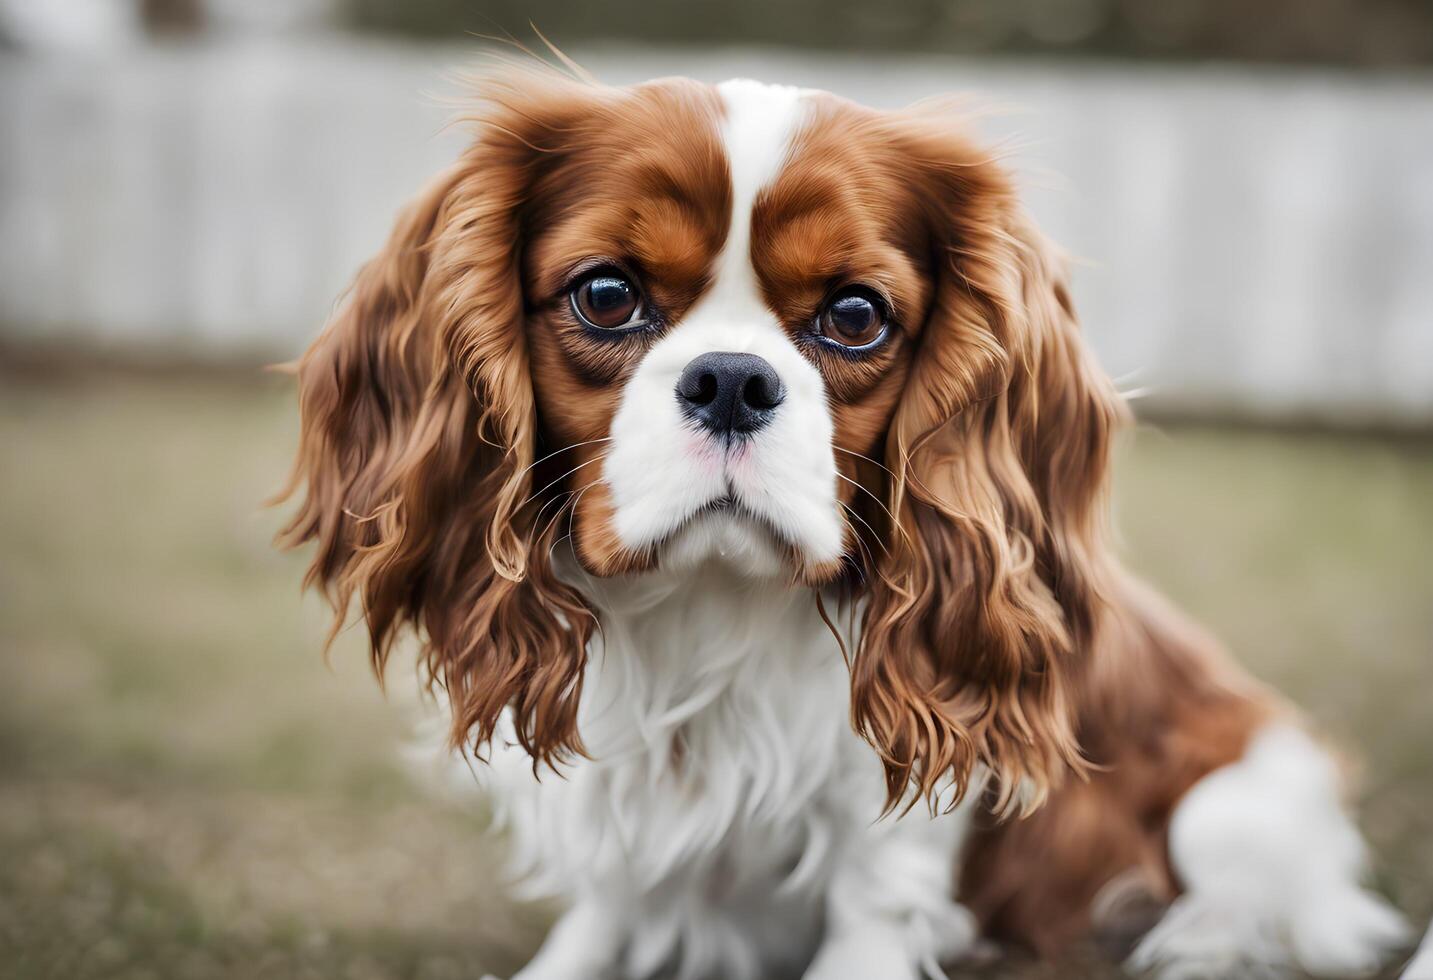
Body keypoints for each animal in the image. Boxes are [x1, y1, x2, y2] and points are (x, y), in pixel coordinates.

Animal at [279, 68, 1410, 980]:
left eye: (855, 315)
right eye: (605, 294)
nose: (731, 380)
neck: (707, 610)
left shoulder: (903, 781)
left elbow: (876, 898)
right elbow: (606, 900)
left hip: (1237, 798)